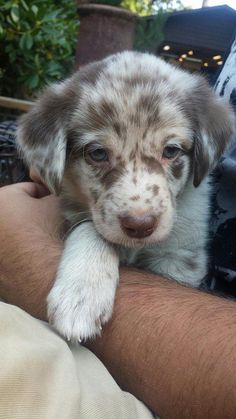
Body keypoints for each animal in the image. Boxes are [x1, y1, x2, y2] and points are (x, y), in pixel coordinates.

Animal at [17, 51, 234, 342]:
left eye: (171, 150)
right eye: (97, 153)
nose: (140, 226)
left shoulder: (179, 254)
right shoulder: (73, 212)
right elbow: (90, 228)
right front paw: (81, 293)